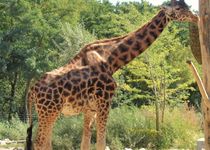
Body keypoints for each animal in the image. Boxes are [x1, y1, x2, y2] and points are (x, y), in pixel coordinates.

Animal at [25, 0, 198, 149]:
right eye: (178, 9)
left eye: (187, 5)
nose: (195, 17)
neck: (112, 60)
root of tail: (32, 90)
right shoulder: (104, 101)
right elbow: (101, 143)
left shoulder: (90, 109)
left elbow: (85, 143)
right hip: (49, 111)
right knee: (39, 142)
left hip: (48, 112)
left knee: (45, 141)